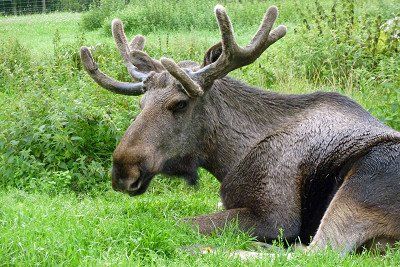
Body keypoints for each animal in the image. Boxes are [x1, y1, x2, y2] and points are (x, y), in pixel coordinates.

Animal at [80, 5, 400, 254]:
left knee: (316, 252)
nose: (123, 171)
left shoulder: (276, 218)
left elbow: (175, 222)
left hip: (363, 179)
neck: (228, 159)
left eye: (180, 104)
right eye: (142, 102)